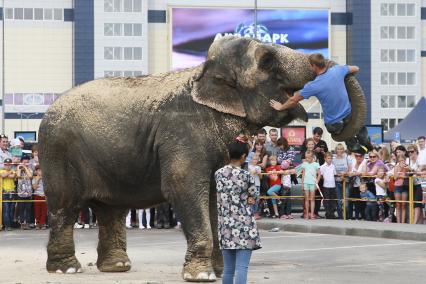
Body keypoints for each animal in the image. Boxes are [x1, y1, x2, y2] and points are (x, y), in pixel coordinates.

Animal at [38, 36, 366, 282]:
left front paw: (220, 272)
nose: (349, 137)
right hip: (57, 151)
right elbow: (182, 186)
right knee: (66, 206)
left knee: (111, 211)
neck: (202, 71)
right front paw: (202, 276)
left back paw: (117, 267)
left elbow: (213, 195)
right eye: (267, 61)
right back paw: (67, 269)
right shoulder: (181, 130)